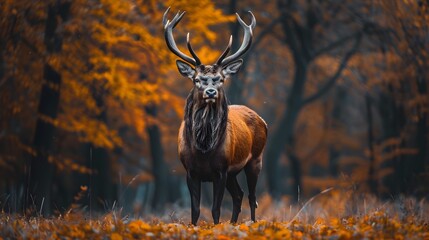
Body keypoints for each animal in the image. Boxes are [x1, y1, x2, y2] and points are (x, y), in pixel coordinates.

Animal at [162, 7, 266, 225]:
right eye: (197, 79)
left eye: (220, 79)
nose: (211, 91)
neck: (203, 149)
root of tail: (263, 120)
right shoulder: (190, 171)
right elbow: (195, 210)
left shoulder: (221, 169)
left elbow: (215, 209)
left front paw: (217, 227)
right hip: (234, 173)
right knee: (239, 194)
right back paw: (233, 224)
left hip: (255, 159)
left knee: (252, 197)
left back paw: (252, 223)